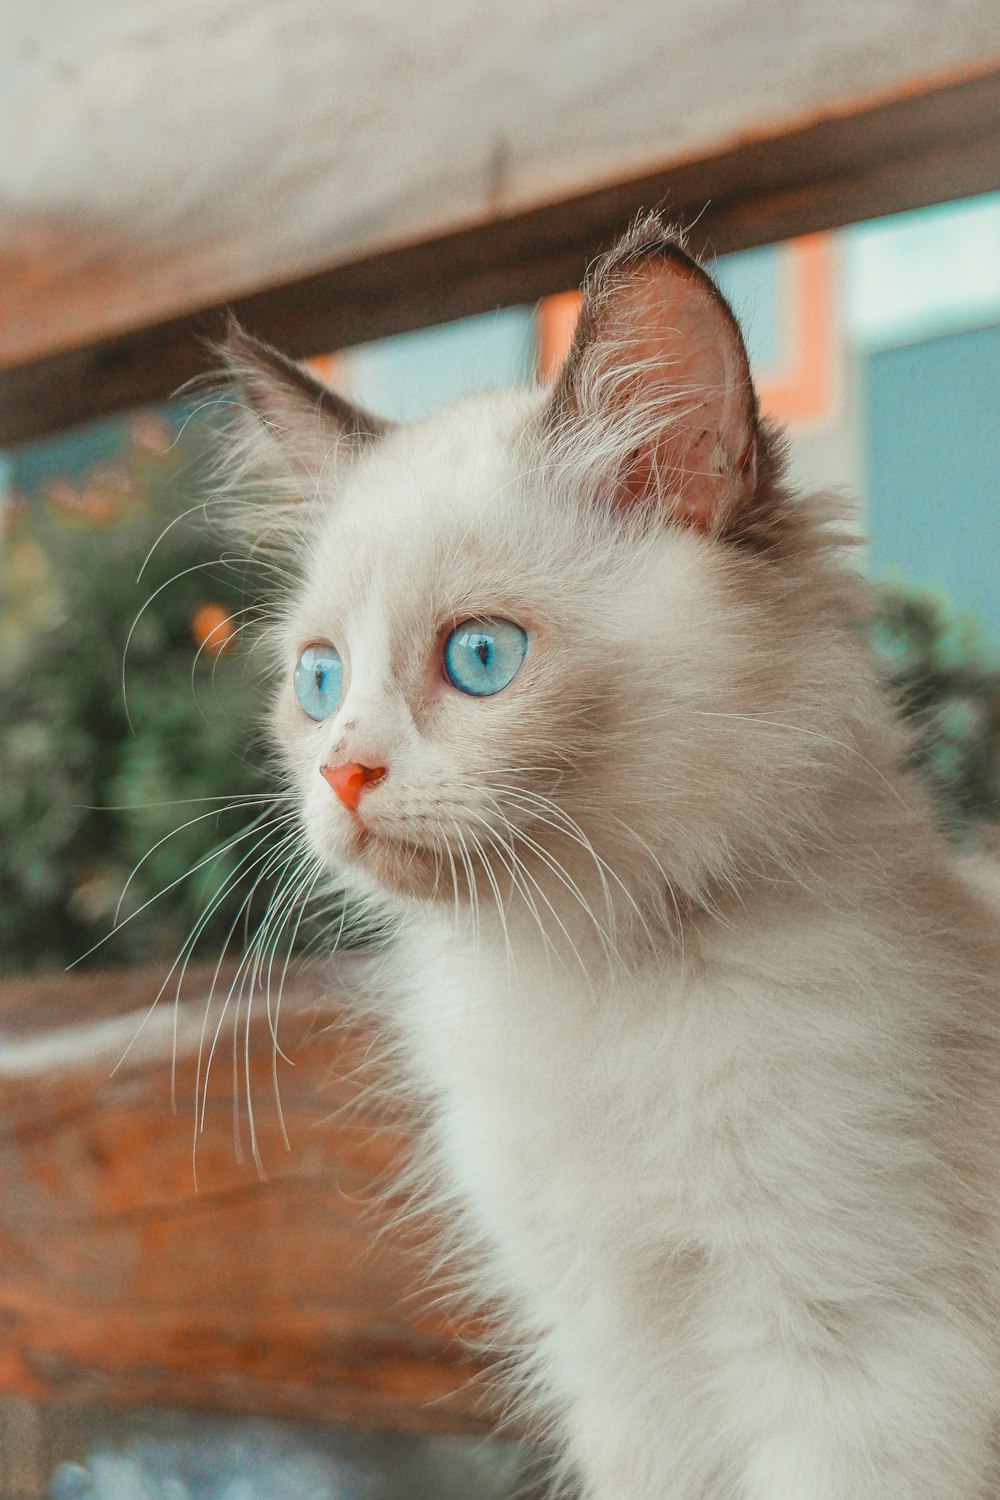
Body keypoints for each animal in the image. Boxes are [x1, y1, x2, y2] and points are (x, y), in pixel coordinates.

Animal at [215, 219, 1000, 1500]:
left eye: (480, 658)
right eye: (319, 682)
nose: (341, 775)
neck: (584, 983)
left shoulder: (860, 1366)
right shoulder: (617, 1364)